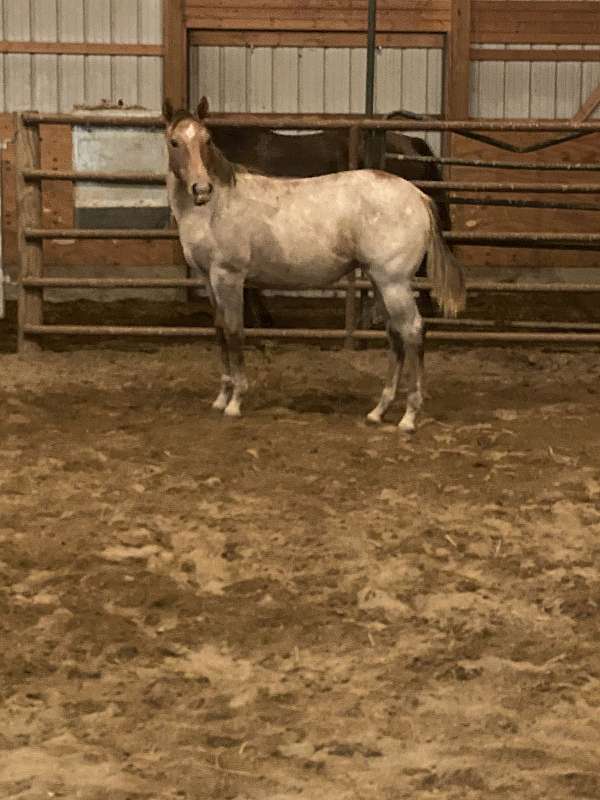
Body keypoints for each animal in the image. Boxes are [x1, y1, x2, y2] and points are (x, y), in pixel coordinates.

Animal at [163, 97, 464, 434]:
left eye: (207, 140)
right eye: (174, 142)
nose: (201, 189)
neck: (216, 207)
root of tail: (418, 196)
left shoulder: (229, 277)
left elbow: (234, 331)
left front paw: (235, 402)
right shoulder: (208, 279)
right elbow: (218, 330)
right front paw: (221, 397)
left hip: (394, 283)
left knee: (412, 331)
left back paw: (409, 417)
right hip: (380, 282)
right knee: (395, 334)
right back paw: (378, 411)